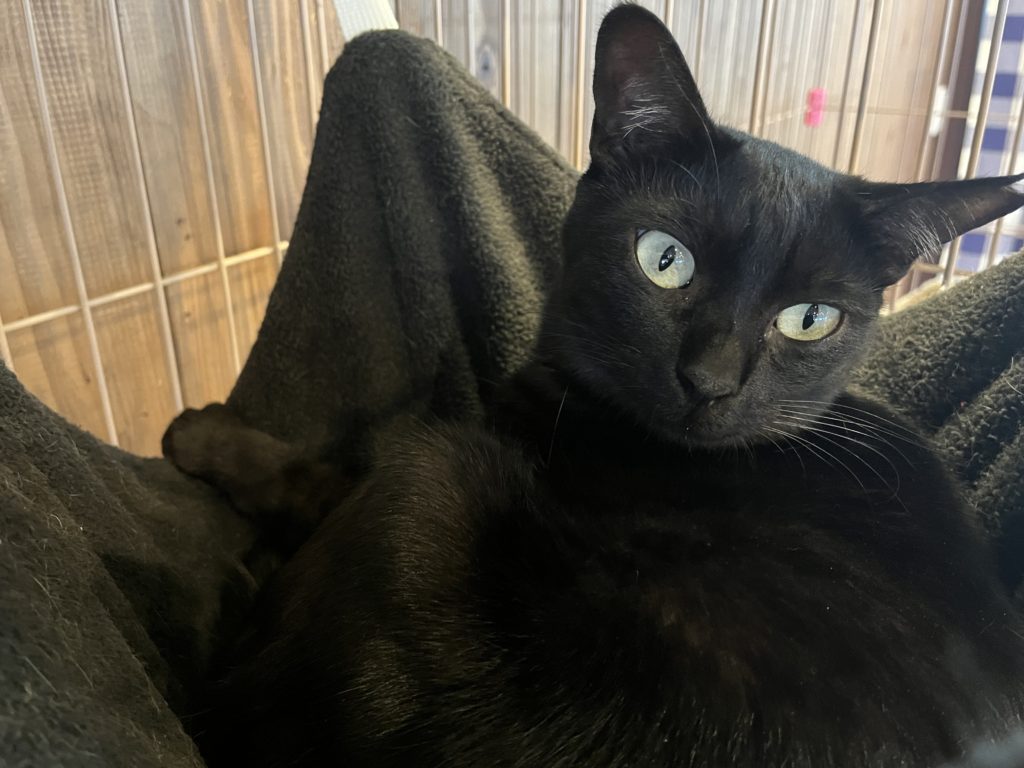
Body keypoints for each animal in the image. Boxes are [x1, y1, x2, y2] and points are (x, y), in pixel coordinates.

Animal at [164, 5, 1024, 766]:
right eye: (664, 259)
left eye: (810, 319)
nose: (709, 380)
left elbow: (317, 476)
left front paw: (203, 436)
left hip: (430, 484)